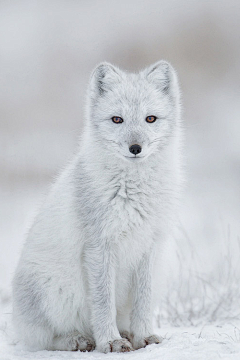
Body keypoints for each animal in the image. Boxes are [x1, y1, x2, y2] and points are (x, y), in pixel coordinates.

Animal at [12, 60, 182, 352]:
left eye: (150, 119)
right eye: (117, 119)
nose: (135, 148)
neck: (133, 190)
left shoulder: (149, 246)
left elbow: (143, 301)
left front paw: (144, 337)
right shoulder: (99, 245)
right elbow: (103, 303)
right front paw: (110, 341)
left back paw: (126, 333)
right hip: (53, 290)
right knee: (46, 338)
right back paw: (78, 340)